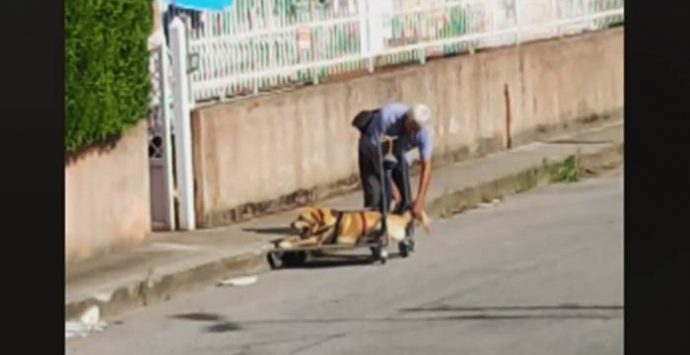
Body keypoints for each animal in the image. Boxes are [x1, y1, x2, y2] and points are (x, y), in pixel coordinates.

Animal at [276, 206, 430, 250]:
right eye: (297, 217)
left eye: (301, 218)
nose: (290, 224)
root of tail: (402, 217)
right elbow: (296, 238)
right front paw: (282, 240)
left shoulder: (317, 240)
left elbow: (299, 241)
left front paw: (285, 244)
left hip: (381, 223)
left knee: (391, 238)